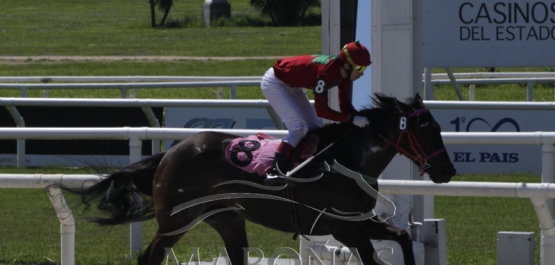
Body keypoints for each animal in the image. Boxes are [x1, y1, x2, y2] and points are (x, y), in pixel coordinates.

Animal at [55, 93, 456, 264]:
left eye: (438, 127)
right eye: (424, 129)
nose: (447, 171)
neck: (346, 161)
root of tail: (170, 152)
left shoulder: (360, 222)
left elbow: (402, 237)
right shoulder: (343, 228)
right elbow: (373, 257)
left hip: (227, 219)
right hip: (176, 219)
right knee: (149, 259)